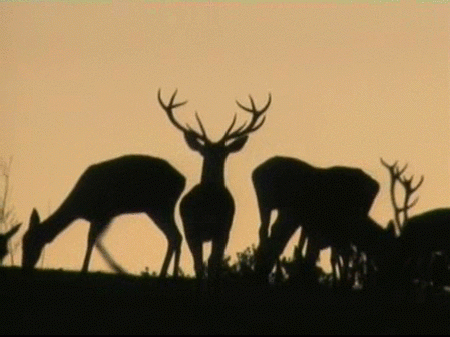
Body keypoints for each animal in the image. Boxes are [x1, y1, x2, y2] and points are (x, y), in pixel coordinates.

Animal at [22, 155, 185, 276]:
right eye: (23, 242)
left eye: (31, 243)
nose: (25, 266)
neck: (78, 207)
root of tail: (182, 180)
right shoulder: (106, 216)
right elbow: (98, 241)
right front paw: (115, 267)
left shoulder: (103, 213)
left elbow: (92, 239)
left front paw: (86, 269)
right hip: (157, 208)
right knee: (174, 236)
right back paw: (168, 274)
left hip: (161, 206)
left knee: (175, 236)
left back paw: (169, 274)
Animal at [158, 88, 270, 276]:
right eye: (205, 151)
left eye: (224, 153)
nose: (214, 159)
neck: (209, 201)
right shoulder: (193, 229)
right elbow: (200, 264)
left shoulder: (223, 230)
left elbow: (213, 263)